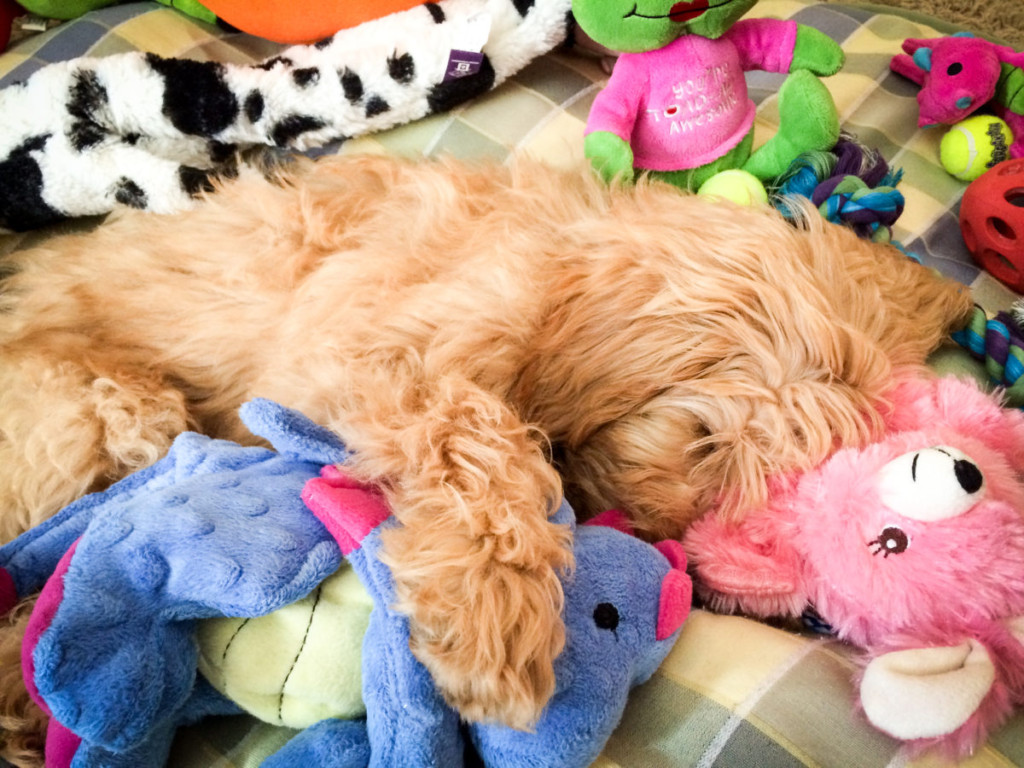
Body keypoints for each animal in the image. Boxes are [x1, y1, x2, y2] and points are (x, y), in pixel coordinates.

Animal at [0, 153, 966, 761]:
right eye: (705, 445)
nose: (688, 563)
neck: (559, 271)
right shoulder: (361, 357)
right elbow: (477, 436)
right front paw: (494, 619)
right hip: (96, 412)